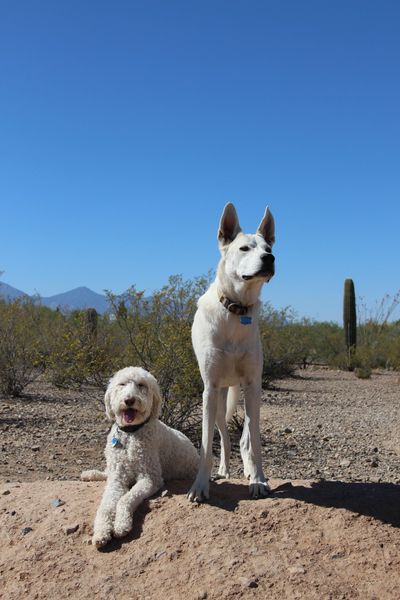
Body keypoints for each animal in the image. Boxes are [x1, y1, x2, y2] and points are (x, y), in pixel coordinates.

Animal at [81, 366, 199, 547]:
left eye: (141, 385)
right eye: (122, 384)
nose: (129, 400)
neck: (131, 433)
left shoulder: (150, 478)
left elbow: (126, 499)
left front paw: (121, 525)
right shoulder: (117, 479)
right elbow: (105, 506)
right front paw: (101, 532)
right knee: (107, 472)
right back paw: (89, 474)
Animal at [188, 203, 275, 502]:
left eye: (268, 247)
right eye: (244, 248)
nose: (270, 259)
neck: (237, 311)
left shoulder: (253, 383)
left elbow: (255, 441)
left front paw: (258, 480)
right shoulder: (210, 388)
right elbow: (205, 445)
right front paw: (200, 486)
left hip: (244, 392)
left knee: (246, 436)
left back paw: (248, 469)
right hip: (218, 399)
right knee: (224, 436)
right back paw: (224, 469)